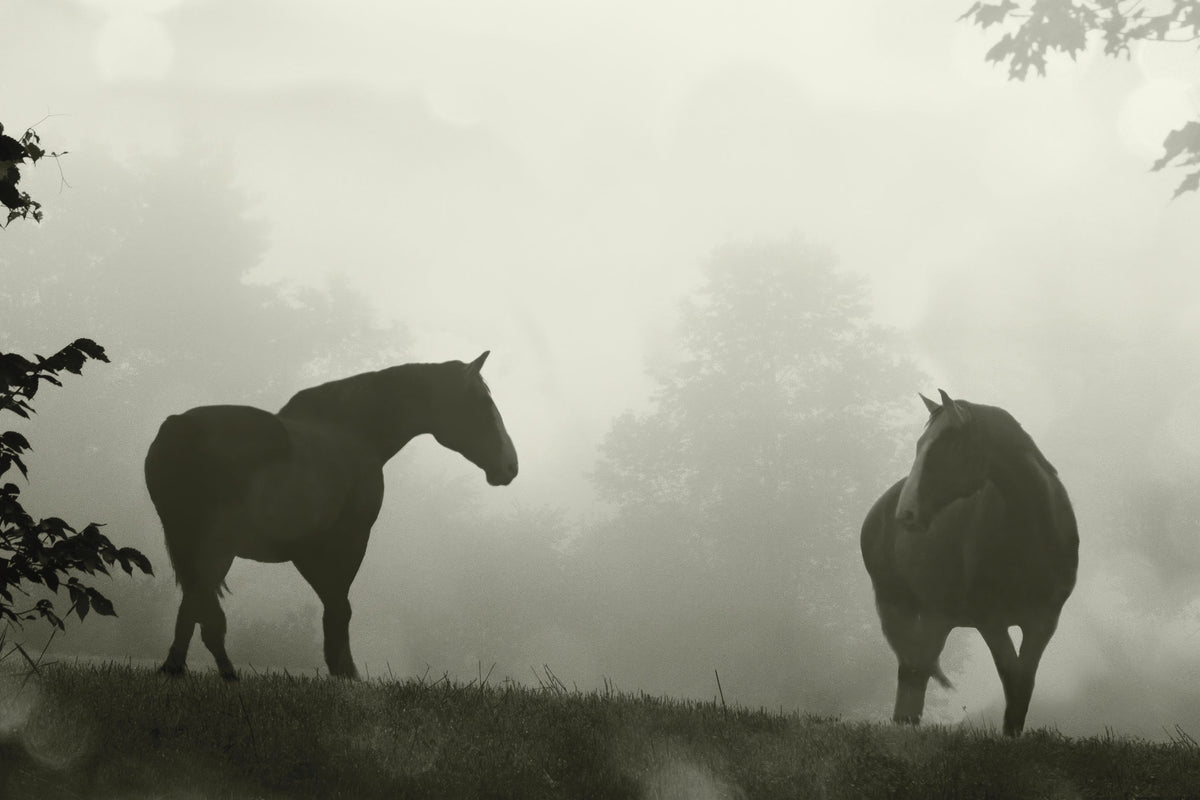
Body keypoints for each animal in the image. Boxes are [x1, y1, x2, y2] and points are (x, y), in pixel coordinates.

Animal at [144, 351, 518, 681]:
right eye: (482, 404)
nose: (510, 466)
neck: (353, 434)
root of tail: (178, 426)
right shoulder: (345, 541)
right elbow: (339, 605)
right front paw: (345, 673)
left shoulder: (308, 551)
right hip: (215, 544)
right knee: (200, 602)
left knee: (197, 604)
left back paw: (192, 670)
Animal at [860, 390, 1077, 736]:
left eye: (945, 445)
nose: (905, 513)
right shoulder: (991, 621)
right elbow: (1011, 676)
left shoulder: (1043, 621)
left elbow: (1024, 682)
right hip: (901, 604)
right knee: (912, 668)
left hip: (937, 616)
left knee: (917, 668)